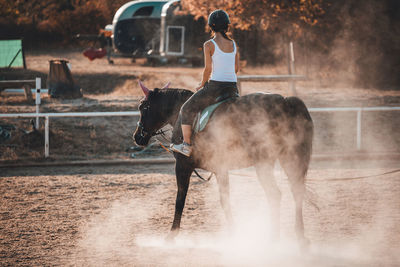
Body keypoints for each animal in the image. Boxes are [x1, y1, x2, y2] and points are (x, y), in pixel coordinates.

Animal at [133, 81, 314, 249]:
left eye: (143, 107)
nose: (137, 137)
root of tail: (285, 101)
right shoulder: (220, 169)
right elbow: (225, 201)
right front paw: (233, 234)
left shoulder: (183, 167)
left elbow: (180, 200)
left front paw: (171, 235)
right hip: (288, 158)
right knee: (295, 192)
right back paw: (299, 237)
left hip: (264, 163)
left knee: (275, 194)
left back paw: (273, 238)